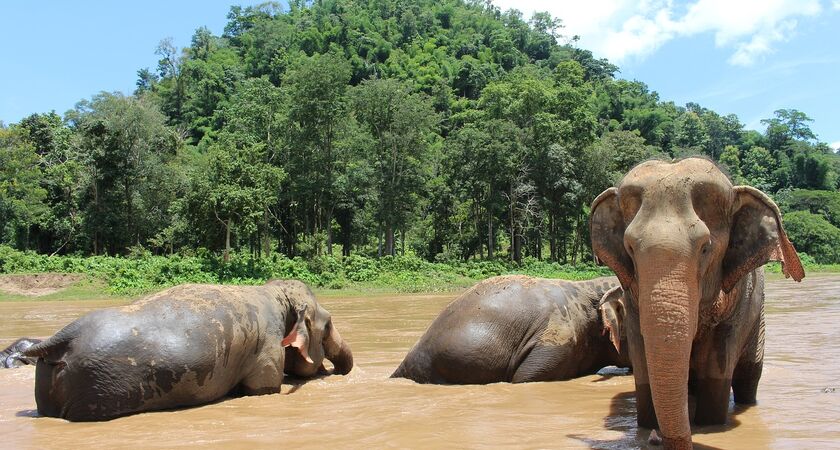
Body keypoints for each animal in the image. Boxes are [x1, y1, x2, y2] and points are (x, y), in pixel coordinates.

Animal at [23, 280, 352, 420]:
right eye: (328, 325)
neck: (275, 292)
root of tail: (63, 337)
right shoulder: (267, 347)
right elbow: (263, 389)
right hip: (95, 389)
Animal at [588, 156, 804, 448]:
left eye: (705, 248)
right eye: (630, 248)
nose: (655, 439)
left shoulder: (739, 300)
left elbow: (718, 364)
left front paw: (709, 424)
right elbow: (642, 360)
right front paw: (646, 427)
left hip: (758, 321)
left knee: (749, 378)